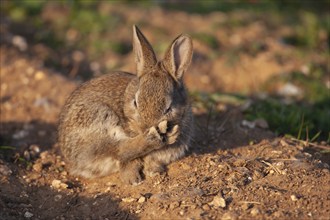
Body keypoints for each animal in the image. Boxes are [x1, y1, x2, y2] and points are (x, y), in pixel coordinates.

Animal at [58, 24, 193, 185]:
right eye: (135, 102)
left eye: (169, 108)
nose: (146, 128)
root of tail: (71, 159)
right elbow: (128, 160)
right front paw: (132, 179)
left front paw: (154, 171)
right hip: (98, 118)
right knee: (119, 150)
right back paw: (154, 139)